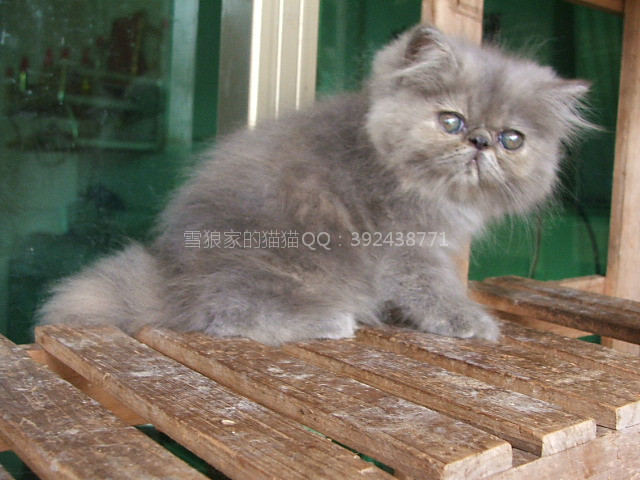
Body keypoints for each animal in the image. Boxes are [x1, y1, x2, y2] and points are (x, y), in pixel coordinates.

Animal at [37, 25, 591, 346]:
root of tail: (171, 278)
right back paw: (332, 321)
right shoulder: (408, 248)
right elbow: (434, 290)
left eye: (512, 139)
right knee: (225, 314)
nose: (480, 142)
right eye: (450, 121)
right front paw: (468, 322)